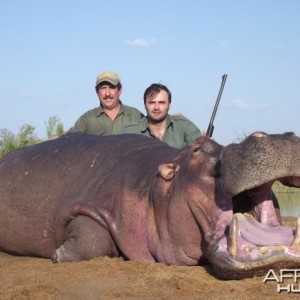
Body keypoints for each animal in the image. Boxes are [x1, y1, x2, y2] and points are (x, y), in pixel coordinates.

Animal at [0, 131, 298, 278]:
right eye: (198, 148)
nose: (276, 135)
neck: (156, 188)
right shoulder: (90, 205)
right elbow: (91, 237)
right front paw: (59, 254)